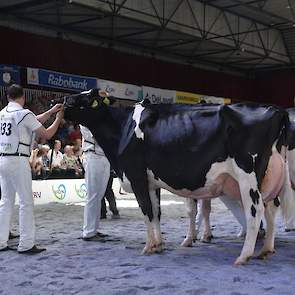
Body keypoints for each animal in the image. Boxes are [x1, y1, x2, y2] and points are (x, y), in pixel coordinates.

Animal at [64, 90, 290, 266]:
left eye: (85, 99)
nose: (61, 102)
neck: (122, 128)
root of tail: (276, 110)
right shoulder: (151, 181)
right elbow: (156, 212)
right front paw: (159, 245)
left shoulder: (136, 176)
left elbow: (146, 211)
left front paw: (148, 246)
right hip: (270, 178)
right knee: (272, 208)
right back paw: (266, 250)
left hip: (248, 176)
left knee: (255, 211)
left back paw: (244, 256)